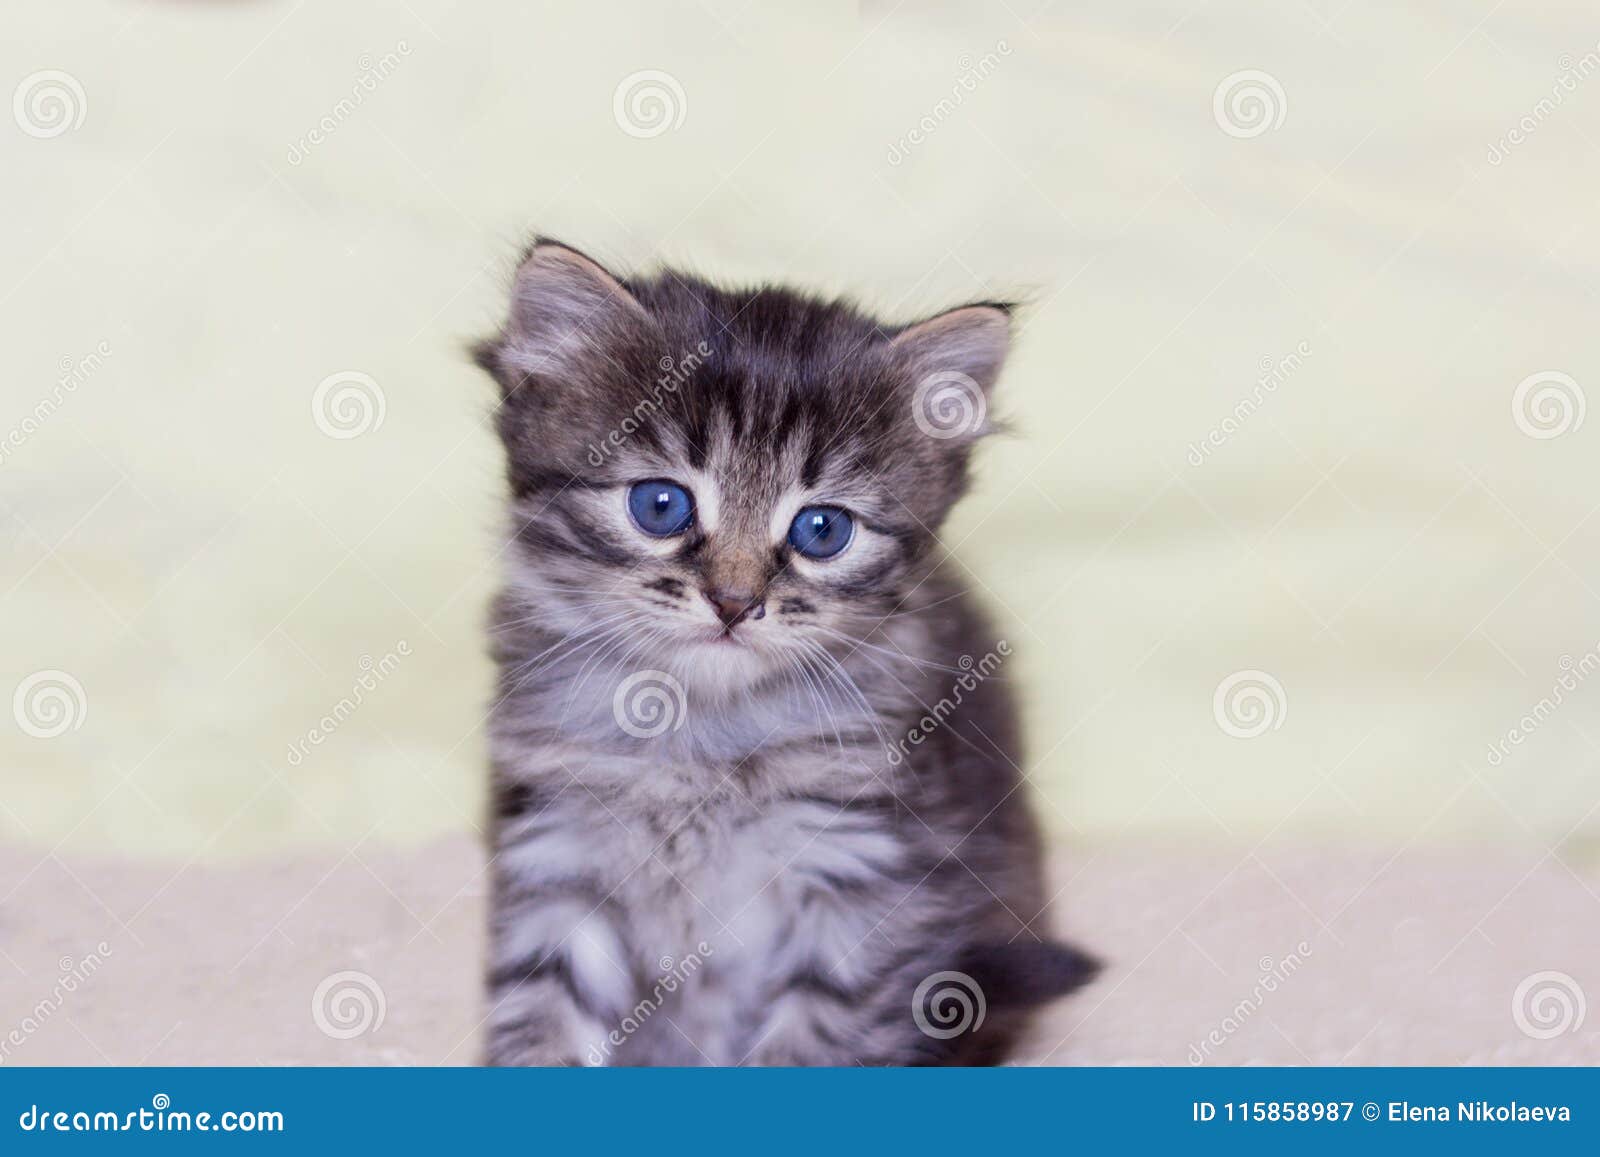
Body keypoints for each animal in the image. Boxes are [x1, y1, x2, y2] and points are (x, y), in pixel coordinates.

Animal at [473, 244, 1094, 1068]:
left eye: (821, 530)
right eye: (660, 506)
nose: (735, 602)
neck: (696, 736)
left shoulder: (861, 879)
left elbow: (815, 1041)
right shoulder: (557, 857)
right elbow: (541, 1024)